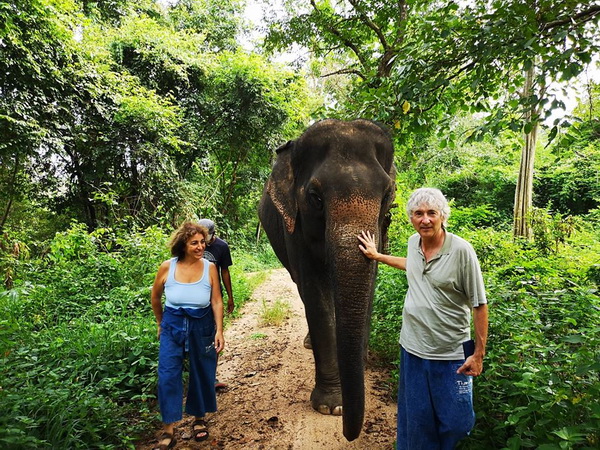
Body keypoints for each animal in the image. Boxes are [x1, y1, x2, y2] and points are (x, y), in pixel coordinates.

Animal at [258, 118, 396, 440]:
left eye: (387, 196)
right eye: (315, 198)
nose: (348, 433)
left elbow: (370, 283)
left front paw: (361, 364)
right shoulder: (293, 226)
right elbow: (314, 291)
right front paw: (333, 406)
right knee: (300, 287)